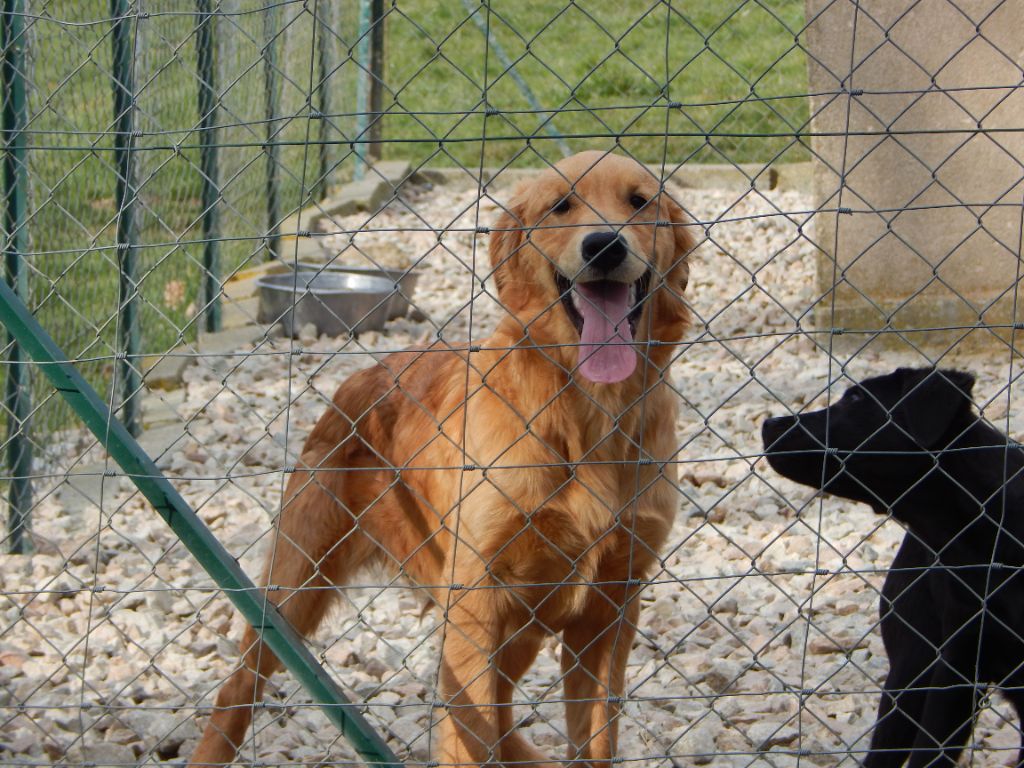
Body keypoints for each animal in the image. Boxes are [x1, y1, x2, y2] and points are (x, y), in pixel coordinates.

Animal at [188, 151, 696, 768]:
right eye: (561, 206)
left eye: (640, 201)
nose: (605, 246)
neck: (587, 414)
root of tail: (364, 374)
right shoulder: (478, 599)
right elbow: (470, 732)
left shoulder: (611, 606)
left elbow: (591, 742)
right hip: (294, 589)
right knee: (237, 688)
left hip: (517, 624)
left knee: (502, 711)